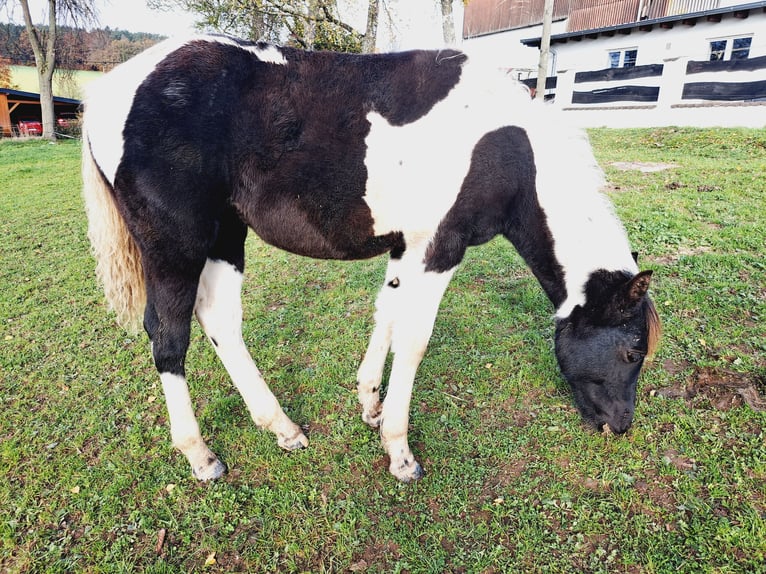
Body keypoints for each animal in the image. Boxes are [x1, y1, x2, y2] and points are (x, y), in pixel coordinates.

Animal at [82, 35, 660, 486]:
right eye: (633, 350)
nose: (621, 425)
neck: (512, 151)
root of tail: (107, 92)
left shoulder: (407, 247)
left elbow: (387, 314)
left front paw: (369, 404)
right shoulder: (439, 249)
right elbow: (414, 340)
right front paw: (399, 452)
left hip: (225, 235)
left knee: (219, 319)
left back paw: (281, 427)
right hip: (175, 247)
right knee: (168, 336)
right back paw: (200, 456)